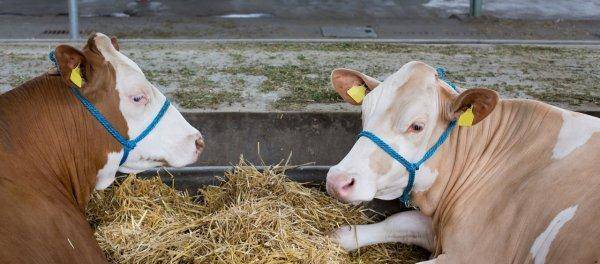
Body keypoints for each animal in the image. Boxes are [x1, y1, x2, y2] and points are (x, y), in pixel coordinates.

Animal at [326, 60, 600, 264]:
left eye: (417, 126)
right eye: (364, 113)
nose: (337, 180)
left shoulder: (475, 253)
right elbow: (401, 220)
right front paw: (339, 235)